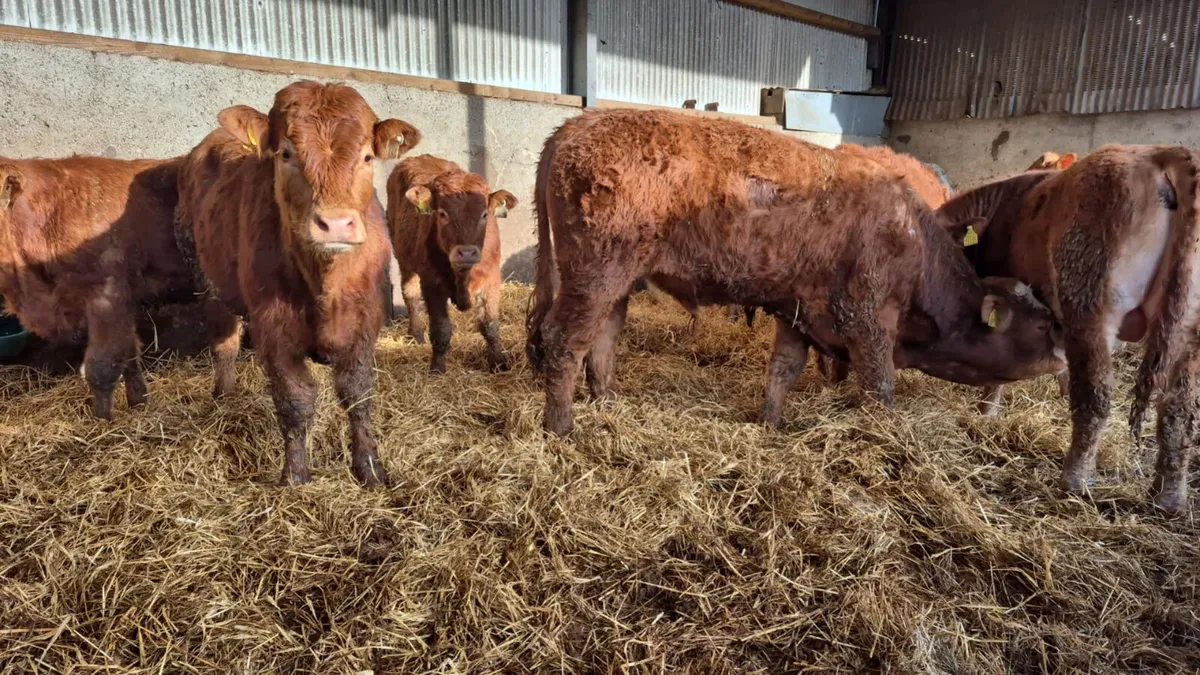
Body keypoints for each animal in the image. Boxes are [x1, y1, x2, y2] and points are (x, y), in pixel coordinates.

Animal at [176, 80, 420, 486]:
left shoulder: (367, 316)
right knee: (224, 344)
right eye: (286, 153)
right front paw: (295, 474)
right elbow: (295, 399)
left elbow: (357, 393)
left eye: (368, 157)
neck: (327, 282)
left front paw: (370, 467)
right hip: (207, 280)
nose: (335, 224)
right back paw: (224, 396)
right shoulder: (274, 324)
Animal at [386, 154, 516, 373]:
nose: (466, 252)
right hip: (403, 257)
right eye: (442, 213)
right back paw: (416, 334)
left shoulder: (491, 278)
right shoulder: (432, 282)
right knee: (410, 295)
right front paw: (437, 368)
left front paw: (499, 362)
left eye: (484, 214)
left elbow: (490, 325)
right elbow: (441, 329)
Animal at [524, 109, 1066, 436]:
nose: (1065, 353)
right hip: (595, 275)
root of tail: (577, 122)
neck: (909, 238)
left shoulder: (798, 314)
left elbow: (782, 372)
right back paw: (561, 426)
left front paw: (772, 423)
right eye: (1042, 324)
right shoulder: (867, 323)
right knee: (564, 340)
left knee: (602, 338)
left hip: (615, 282)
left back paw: (606, 402)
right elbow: (880, 387)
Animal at [938, 145, 1200, 513]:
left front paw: (986, 412)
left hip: (1090, 301)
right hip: (1189, 329)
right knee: (1179, 407)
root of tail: (1162, 153)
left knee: (1096, 395)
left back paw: (1075, 481)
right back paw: (1168, 497)